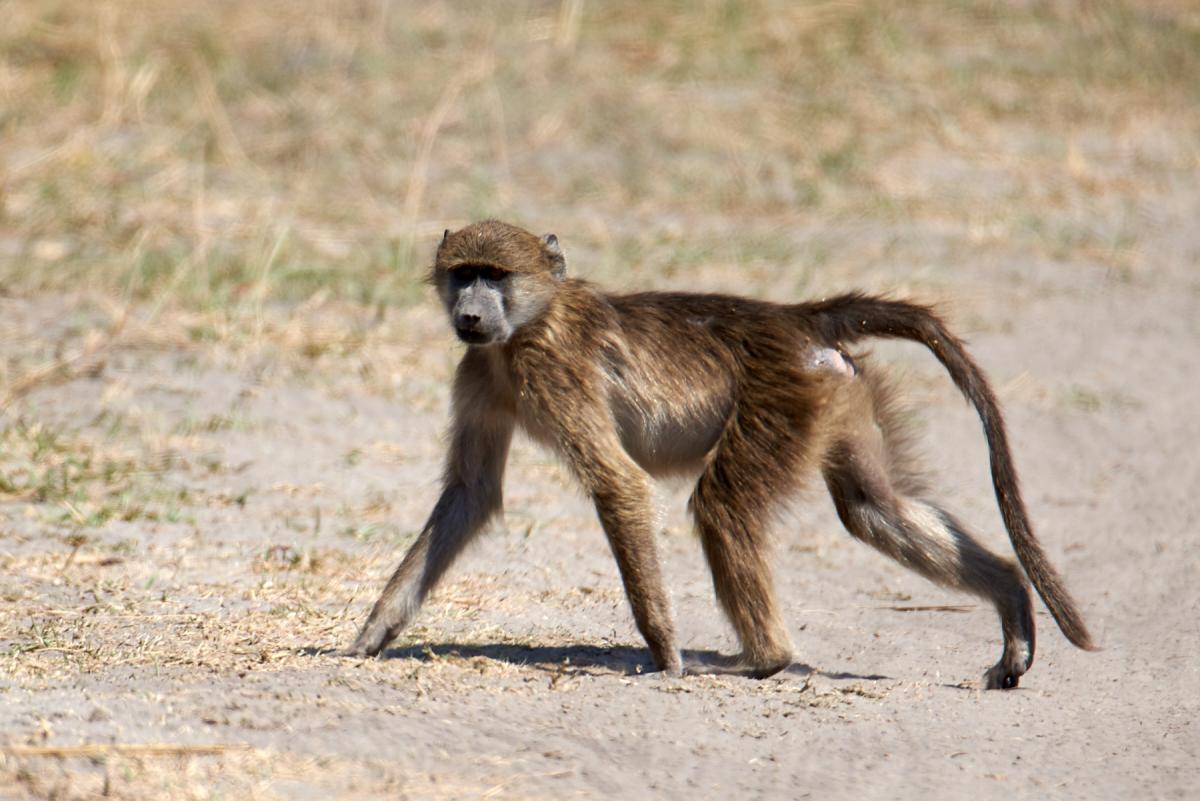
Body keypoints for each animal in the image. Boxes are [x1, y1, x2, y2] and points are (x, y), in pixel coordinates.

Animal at [345, 219, 1095, 688]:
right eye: (463, 274)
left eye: (495, 276)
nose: (470, 315)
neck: (525, 327)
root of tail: (794, 318)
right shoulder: (479, 374)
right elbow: (470, 494)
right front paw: (371, 634)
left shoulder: (550, 370)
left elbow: (619, 483)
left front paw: (667, 654)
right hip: (836, 394)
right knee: (872, 508)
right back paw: (1012, 598)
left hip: (782, 399)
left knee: (724, 504)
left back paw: (762, 659)